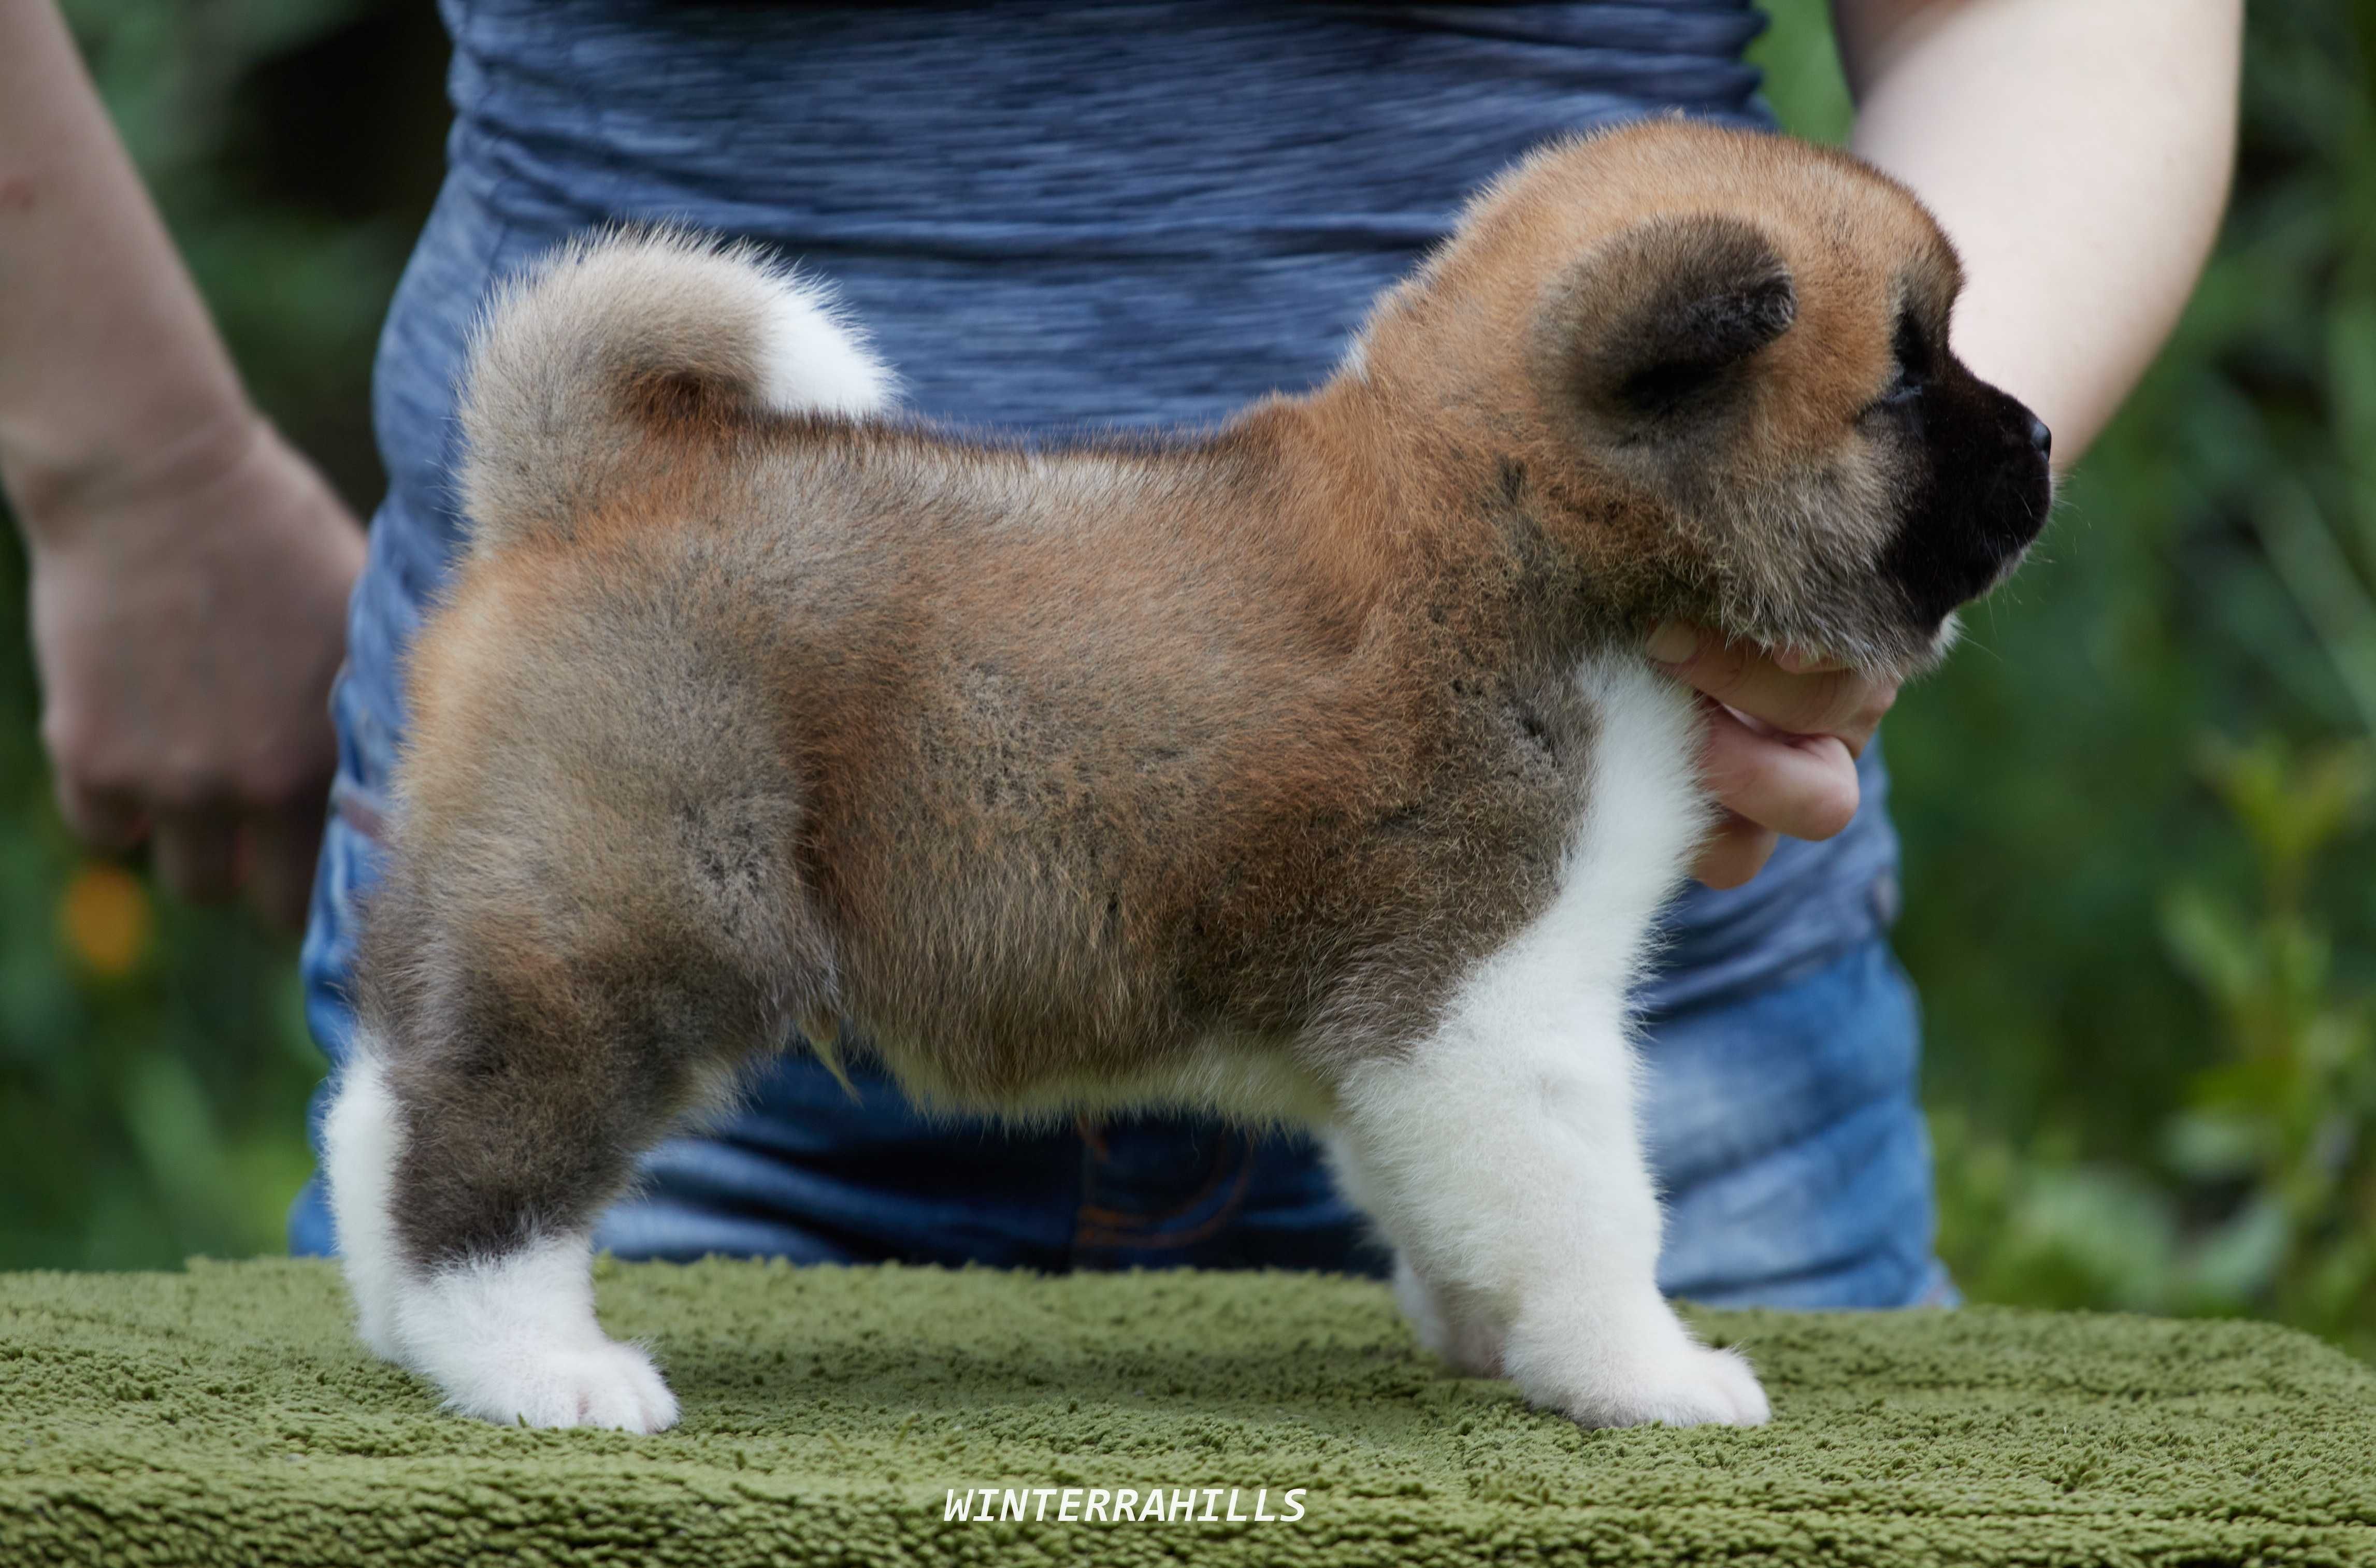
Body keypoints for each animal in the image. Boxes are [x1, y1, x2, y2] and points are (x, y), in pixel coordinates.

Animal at [325, 119, 2053, 1435]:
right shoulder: (1491, 1000)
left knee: (383, 1105)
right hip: (646, 922)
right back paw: (534, 1365)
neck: (1515, 505)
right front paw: (1640, 1371)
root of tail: (585, 484)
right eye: (1906, 373)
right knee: (493, 1147)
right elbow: (1590, 1202)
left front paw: (1489, 1331)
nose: (2038, 439)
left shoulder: (1413, 1035)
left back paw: (407, 1335)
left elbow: (1446, 1195)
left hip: (518, 903)